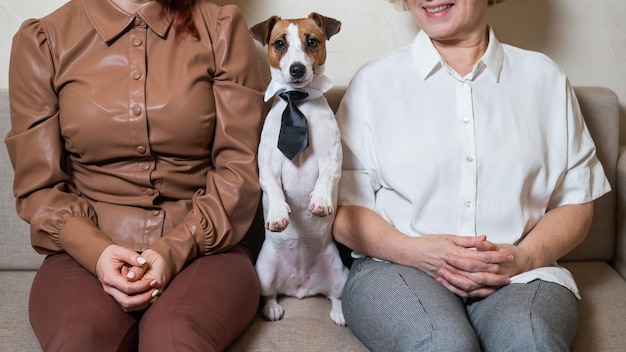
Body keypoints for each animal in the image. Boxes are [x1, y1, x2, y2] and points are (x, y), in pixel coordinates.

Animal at [249, 13, 348, 328]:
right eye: (279, 43)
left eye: (312, 41)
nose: (297, 69)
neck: (297, 102)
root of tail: (300, 287)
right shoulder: (267, 165)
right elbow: (273, 187)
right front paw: (279, 214)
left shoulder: (332, 158)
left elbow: (326, 177)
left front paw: (320, 201)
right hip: (263, 272)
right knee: (269, 295)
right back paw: (272, 309)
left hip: (340, 273)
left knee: (335, 296)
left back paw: (339, 312)